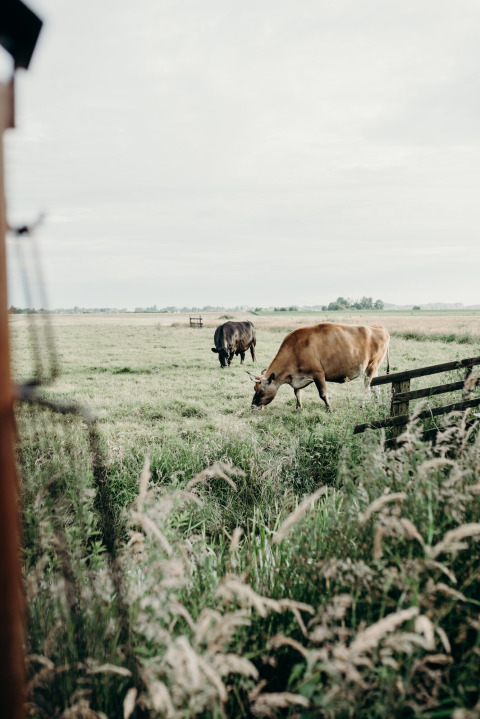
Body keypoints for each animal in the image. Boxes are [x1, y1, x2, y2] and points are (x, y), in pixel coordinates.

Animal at [250, 323, 389, 410]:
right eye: (254, 388)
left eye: (260, 391)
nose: (253, 406)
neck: (295, 349)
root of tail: (379, 328)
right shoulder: (298, 377)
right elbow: (297, 392)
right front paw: (298, 407)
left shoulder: (318, 374)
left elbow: (322, 394)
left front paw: (329, 408)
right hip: (373, 368)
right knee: (376, 387)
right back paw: (379, 404)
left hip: (371, 366)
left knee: (367, 388)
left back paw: (362, 405)